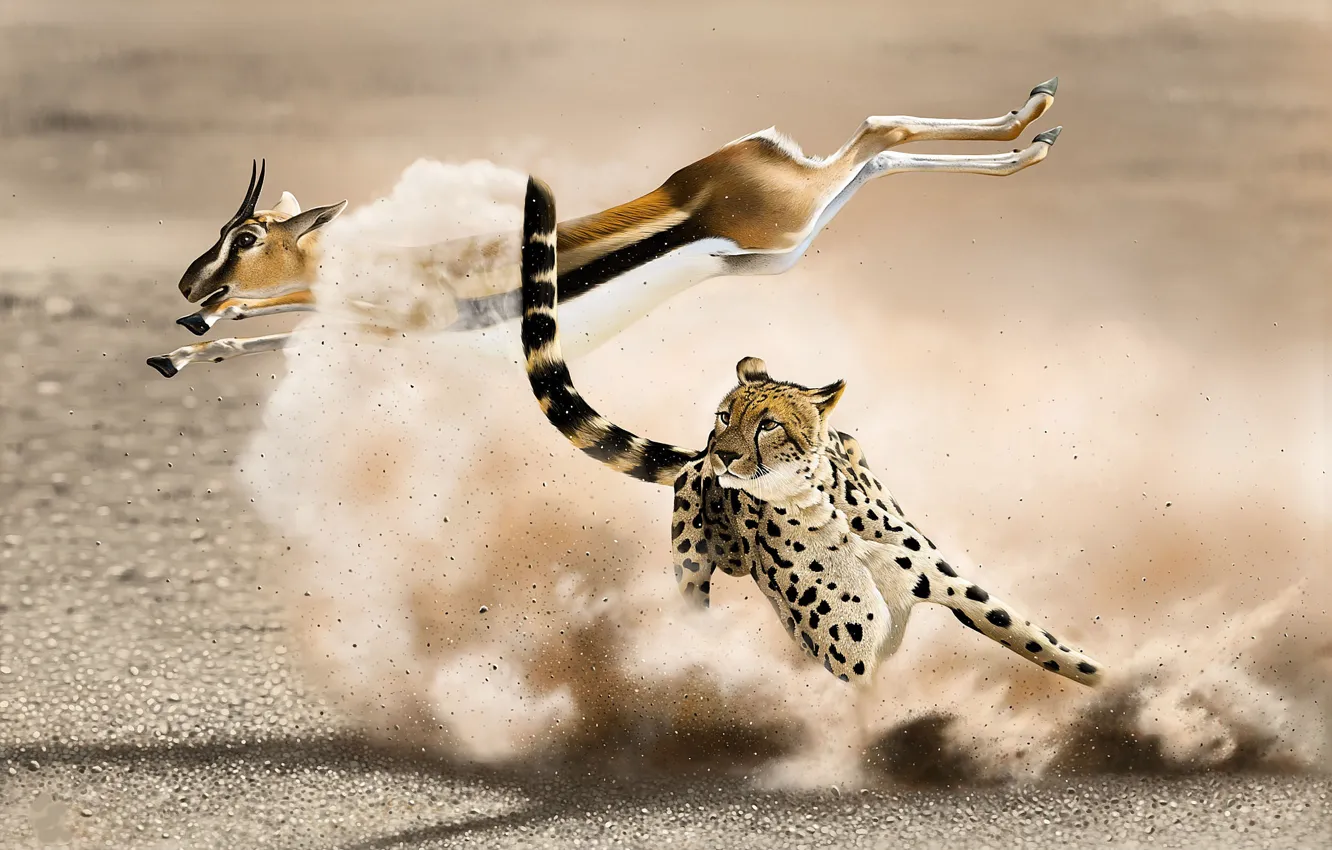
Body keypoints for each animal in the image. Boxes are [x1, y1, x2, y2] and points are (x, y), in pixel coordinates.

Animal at [147, 78, 1063, 378]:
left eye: (246, 238)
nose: (190, 289)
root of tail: (749, 150)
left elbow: (268, 325)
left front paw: (190, 341)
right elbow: (265, 333)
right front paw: (178, 353)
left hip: (790, 225)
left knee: (882, 132)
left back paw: (1035, 128)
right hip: (784, 247)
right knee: (877, 149)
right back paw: (1033, 129)